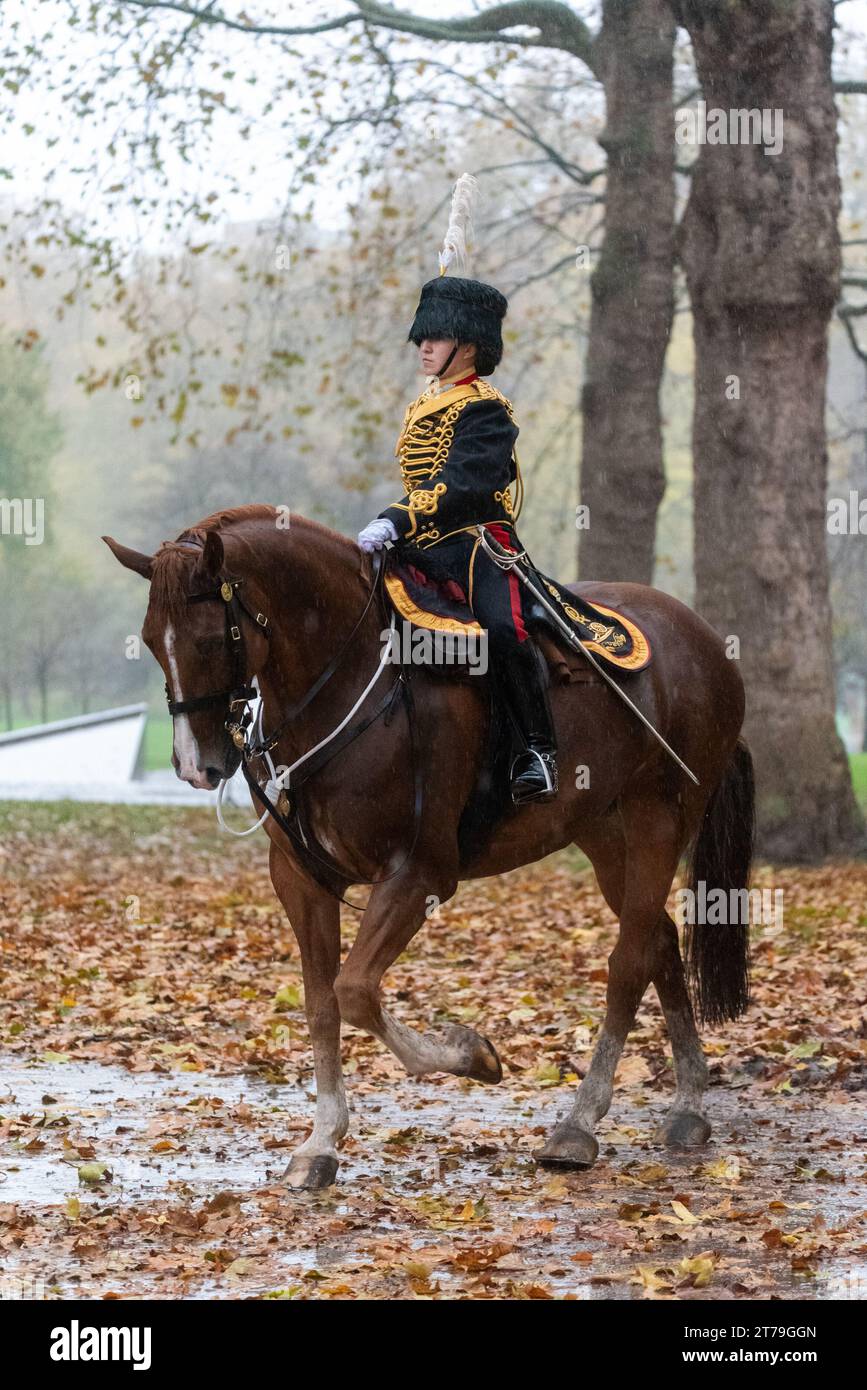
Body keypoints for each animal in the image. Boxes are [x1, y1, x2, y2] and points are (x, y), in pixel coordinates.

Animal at [103, 505, 750, 1189]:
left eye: (208, 640)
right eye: (151, 641)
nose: (196, 767)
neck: (353, 679)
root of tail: (708, 642)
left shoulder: (419, 875)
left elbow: (355, 991)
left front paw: (473, 1055)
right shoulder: (301, 879)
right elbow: (320, 1002)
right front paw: (322, 1141)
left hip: (661, 817)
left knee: (629, 961)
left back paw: (578, 1124)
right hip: (604, 834)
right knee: (659, 942)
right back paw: (688, 1105)